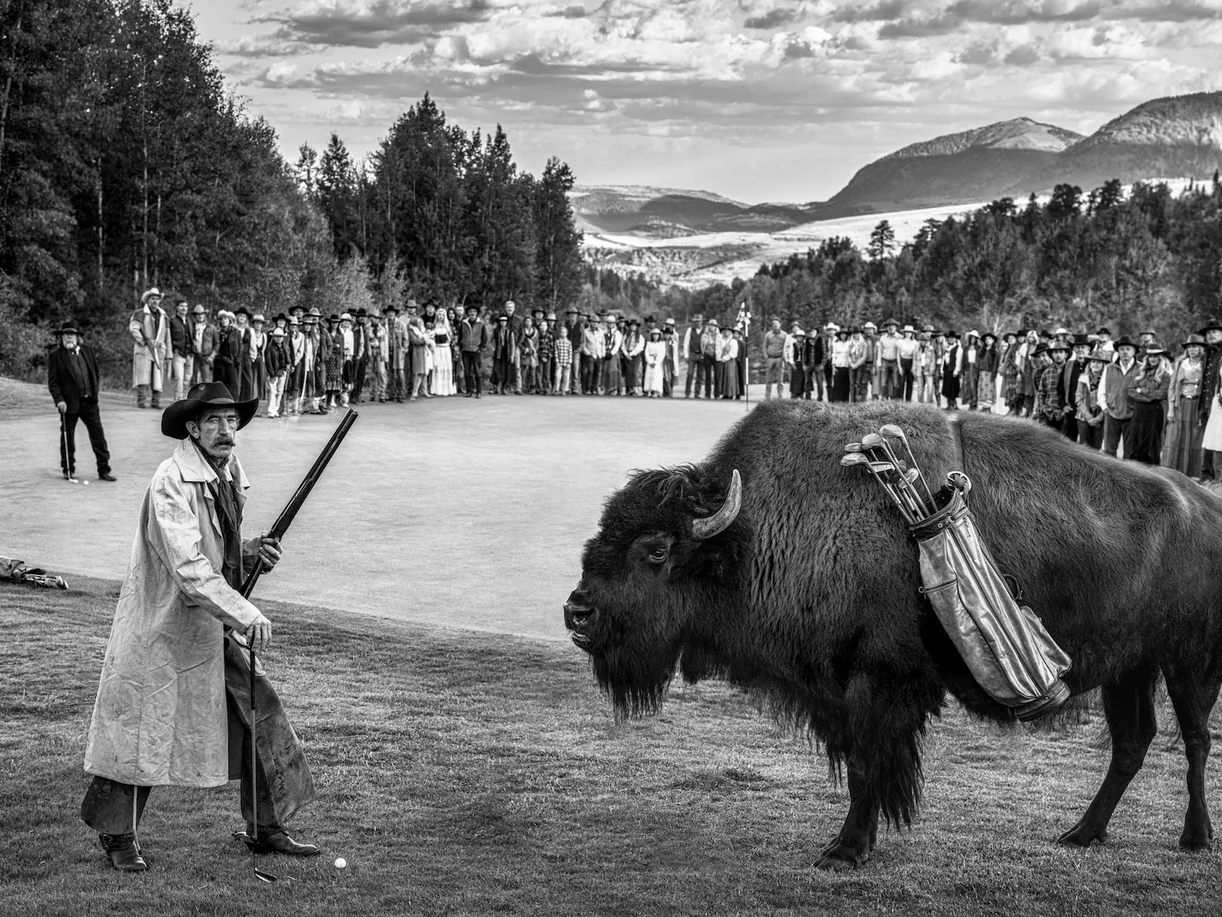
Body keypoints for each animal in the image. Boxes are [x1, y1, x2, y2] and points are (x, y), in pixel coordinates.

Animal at [564, 400, 1222, 868]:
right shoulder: (841, 691)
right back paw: (1080, 834)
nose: (576, 613)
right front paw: (859, 841)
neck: (749, 536)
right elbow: (864, 766)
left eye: (655, 550)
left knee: (1193, 741)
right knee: (1132, 743)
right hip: (1129, 668)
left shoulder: (877, 682)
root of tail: (1206, 504)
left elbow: (866, 765)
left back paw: (1194, 839)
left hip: (1187, 663)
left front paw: (844, 851)